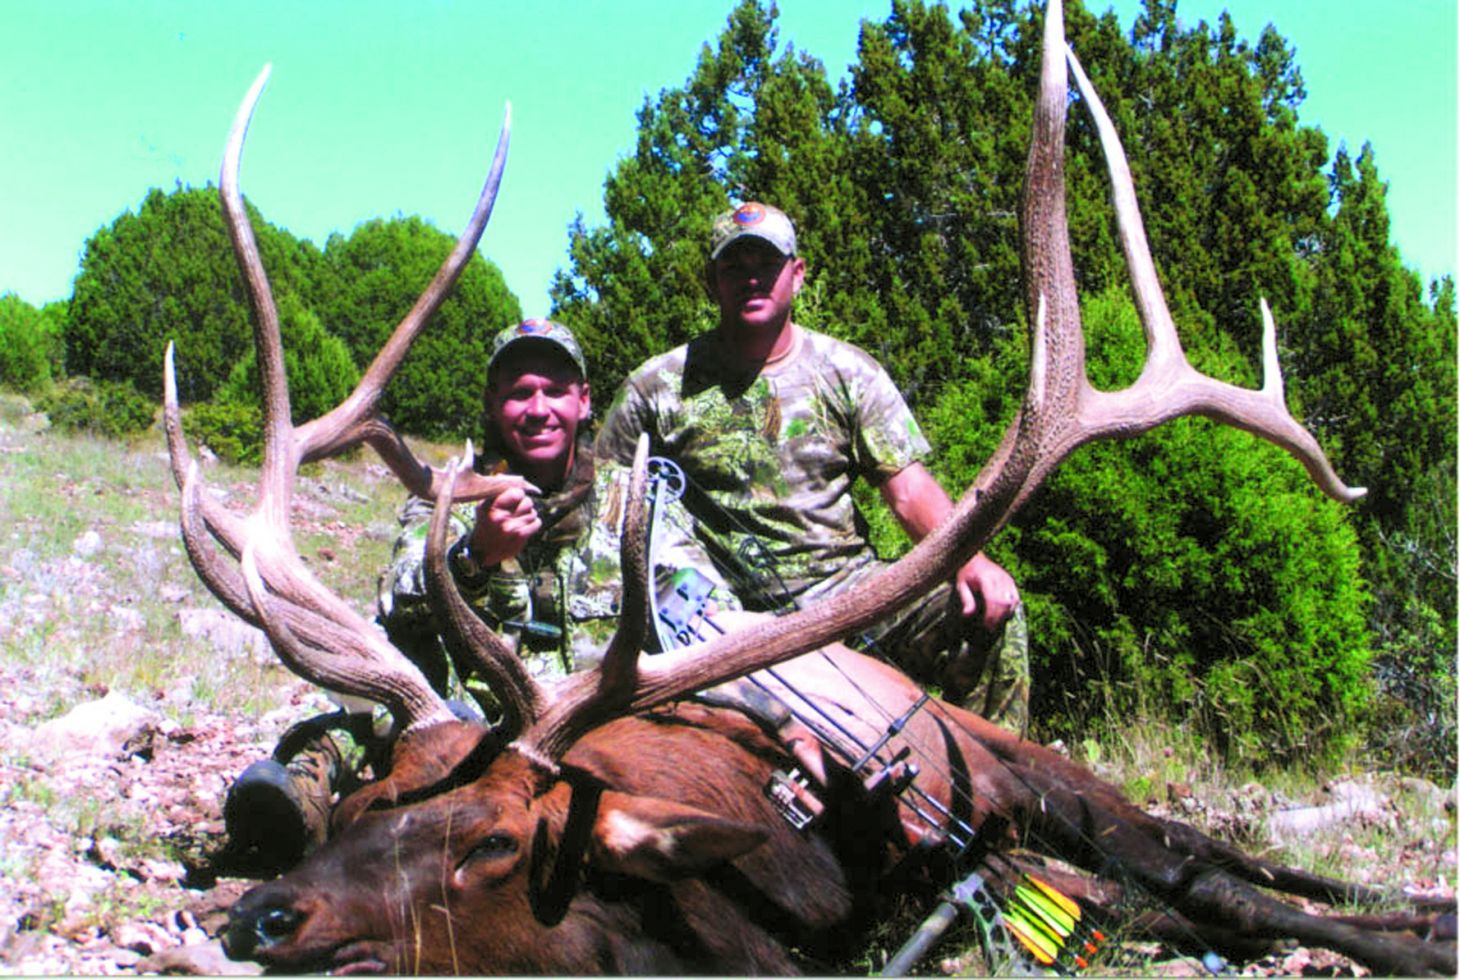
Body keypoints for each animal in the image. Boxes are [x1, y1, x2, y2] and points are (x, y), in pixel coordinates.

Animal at [163, 0, 1454, 974]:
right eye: (366, 798)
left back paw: (1414, 916)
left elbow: (1212, 885)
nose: (264, 913)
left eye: (488, 841)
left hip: (1028, 760)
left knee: (1216, 863)